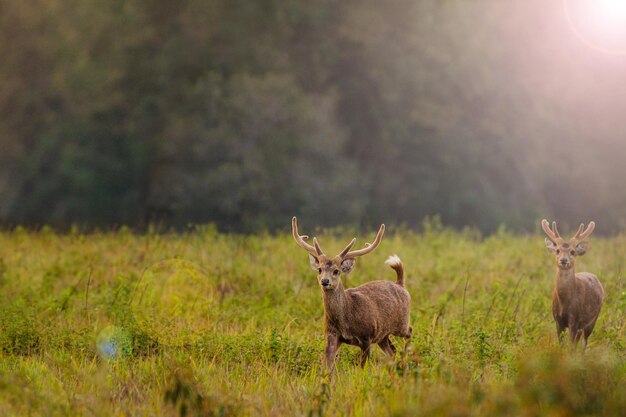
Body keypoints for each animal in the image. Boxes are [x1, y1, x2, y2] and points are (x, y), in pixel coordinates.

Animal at [292, 216, 412, 368]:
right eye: (319, 269)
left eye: (336, 271)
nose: (324, 281)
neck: (346, 319)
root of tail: (400, 284)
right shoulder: (331, 334)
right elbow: (327, 364)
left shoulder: (367, 336)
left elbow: (362, 366)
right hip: (382, 335)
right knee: (392, 352)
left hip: (401, 324)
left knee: (409, 332)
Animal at [540, 219, 604, 350]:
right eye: (558, 250)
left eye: (573, 252)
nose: (563, 260)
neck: (564, 303)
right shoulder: (557, 320)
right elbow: (561, 345)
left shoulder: (574, 319)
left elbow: (570, 345)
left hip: (593, 319)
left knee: (584, 342)